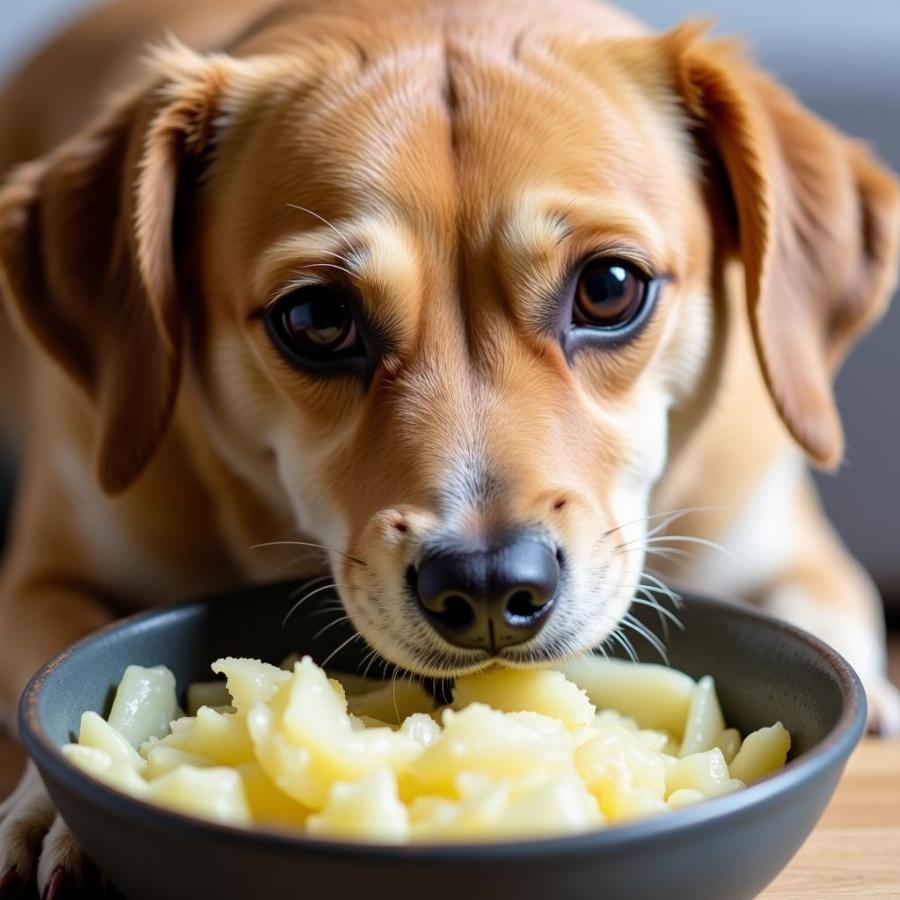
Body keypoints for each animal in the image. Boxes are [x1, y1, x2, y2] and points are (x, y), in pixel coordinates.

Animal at [1, 0, 900, 888]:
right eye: (316, 318)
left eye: (610, 288)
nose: (491, 587)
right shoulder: (43, 578)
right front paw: (57, 812)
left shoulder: (798, 553)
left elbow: (829, 612)